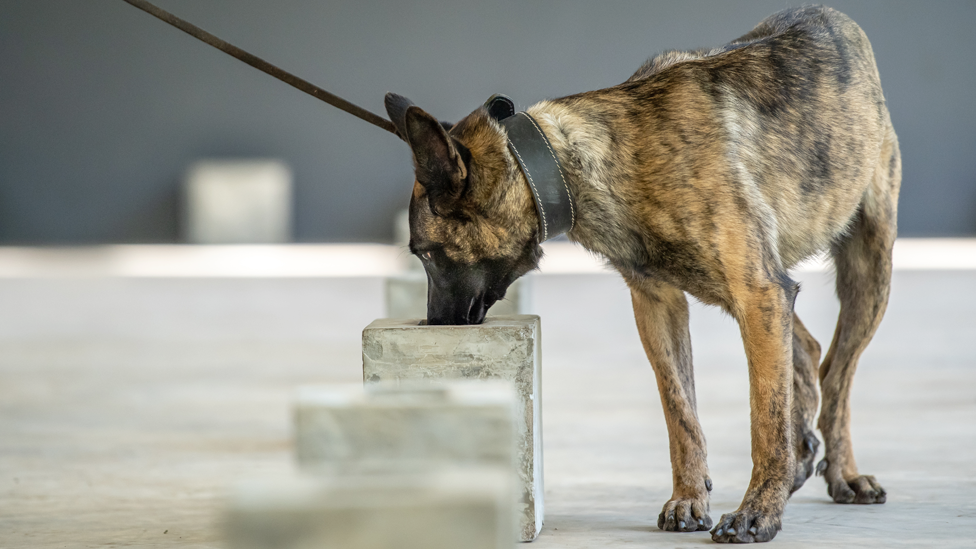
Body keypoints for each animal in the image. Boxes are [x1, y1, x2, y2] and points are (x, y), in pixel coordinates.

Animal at [382, 5, 900, 544]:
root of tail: (830, 16)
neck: (575, 164)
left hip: (864, 274)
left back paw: (842, 472)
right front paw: (689, 499)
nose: (434, 326)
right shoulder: (663, 304)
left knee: (837, 373)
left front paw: (758, 512)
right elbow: (680, 410)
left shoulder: (758, 293)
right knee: (808, 350)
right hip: (767, 292)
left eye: (425, 254)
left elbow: (765, 417)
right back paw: (803, 456)